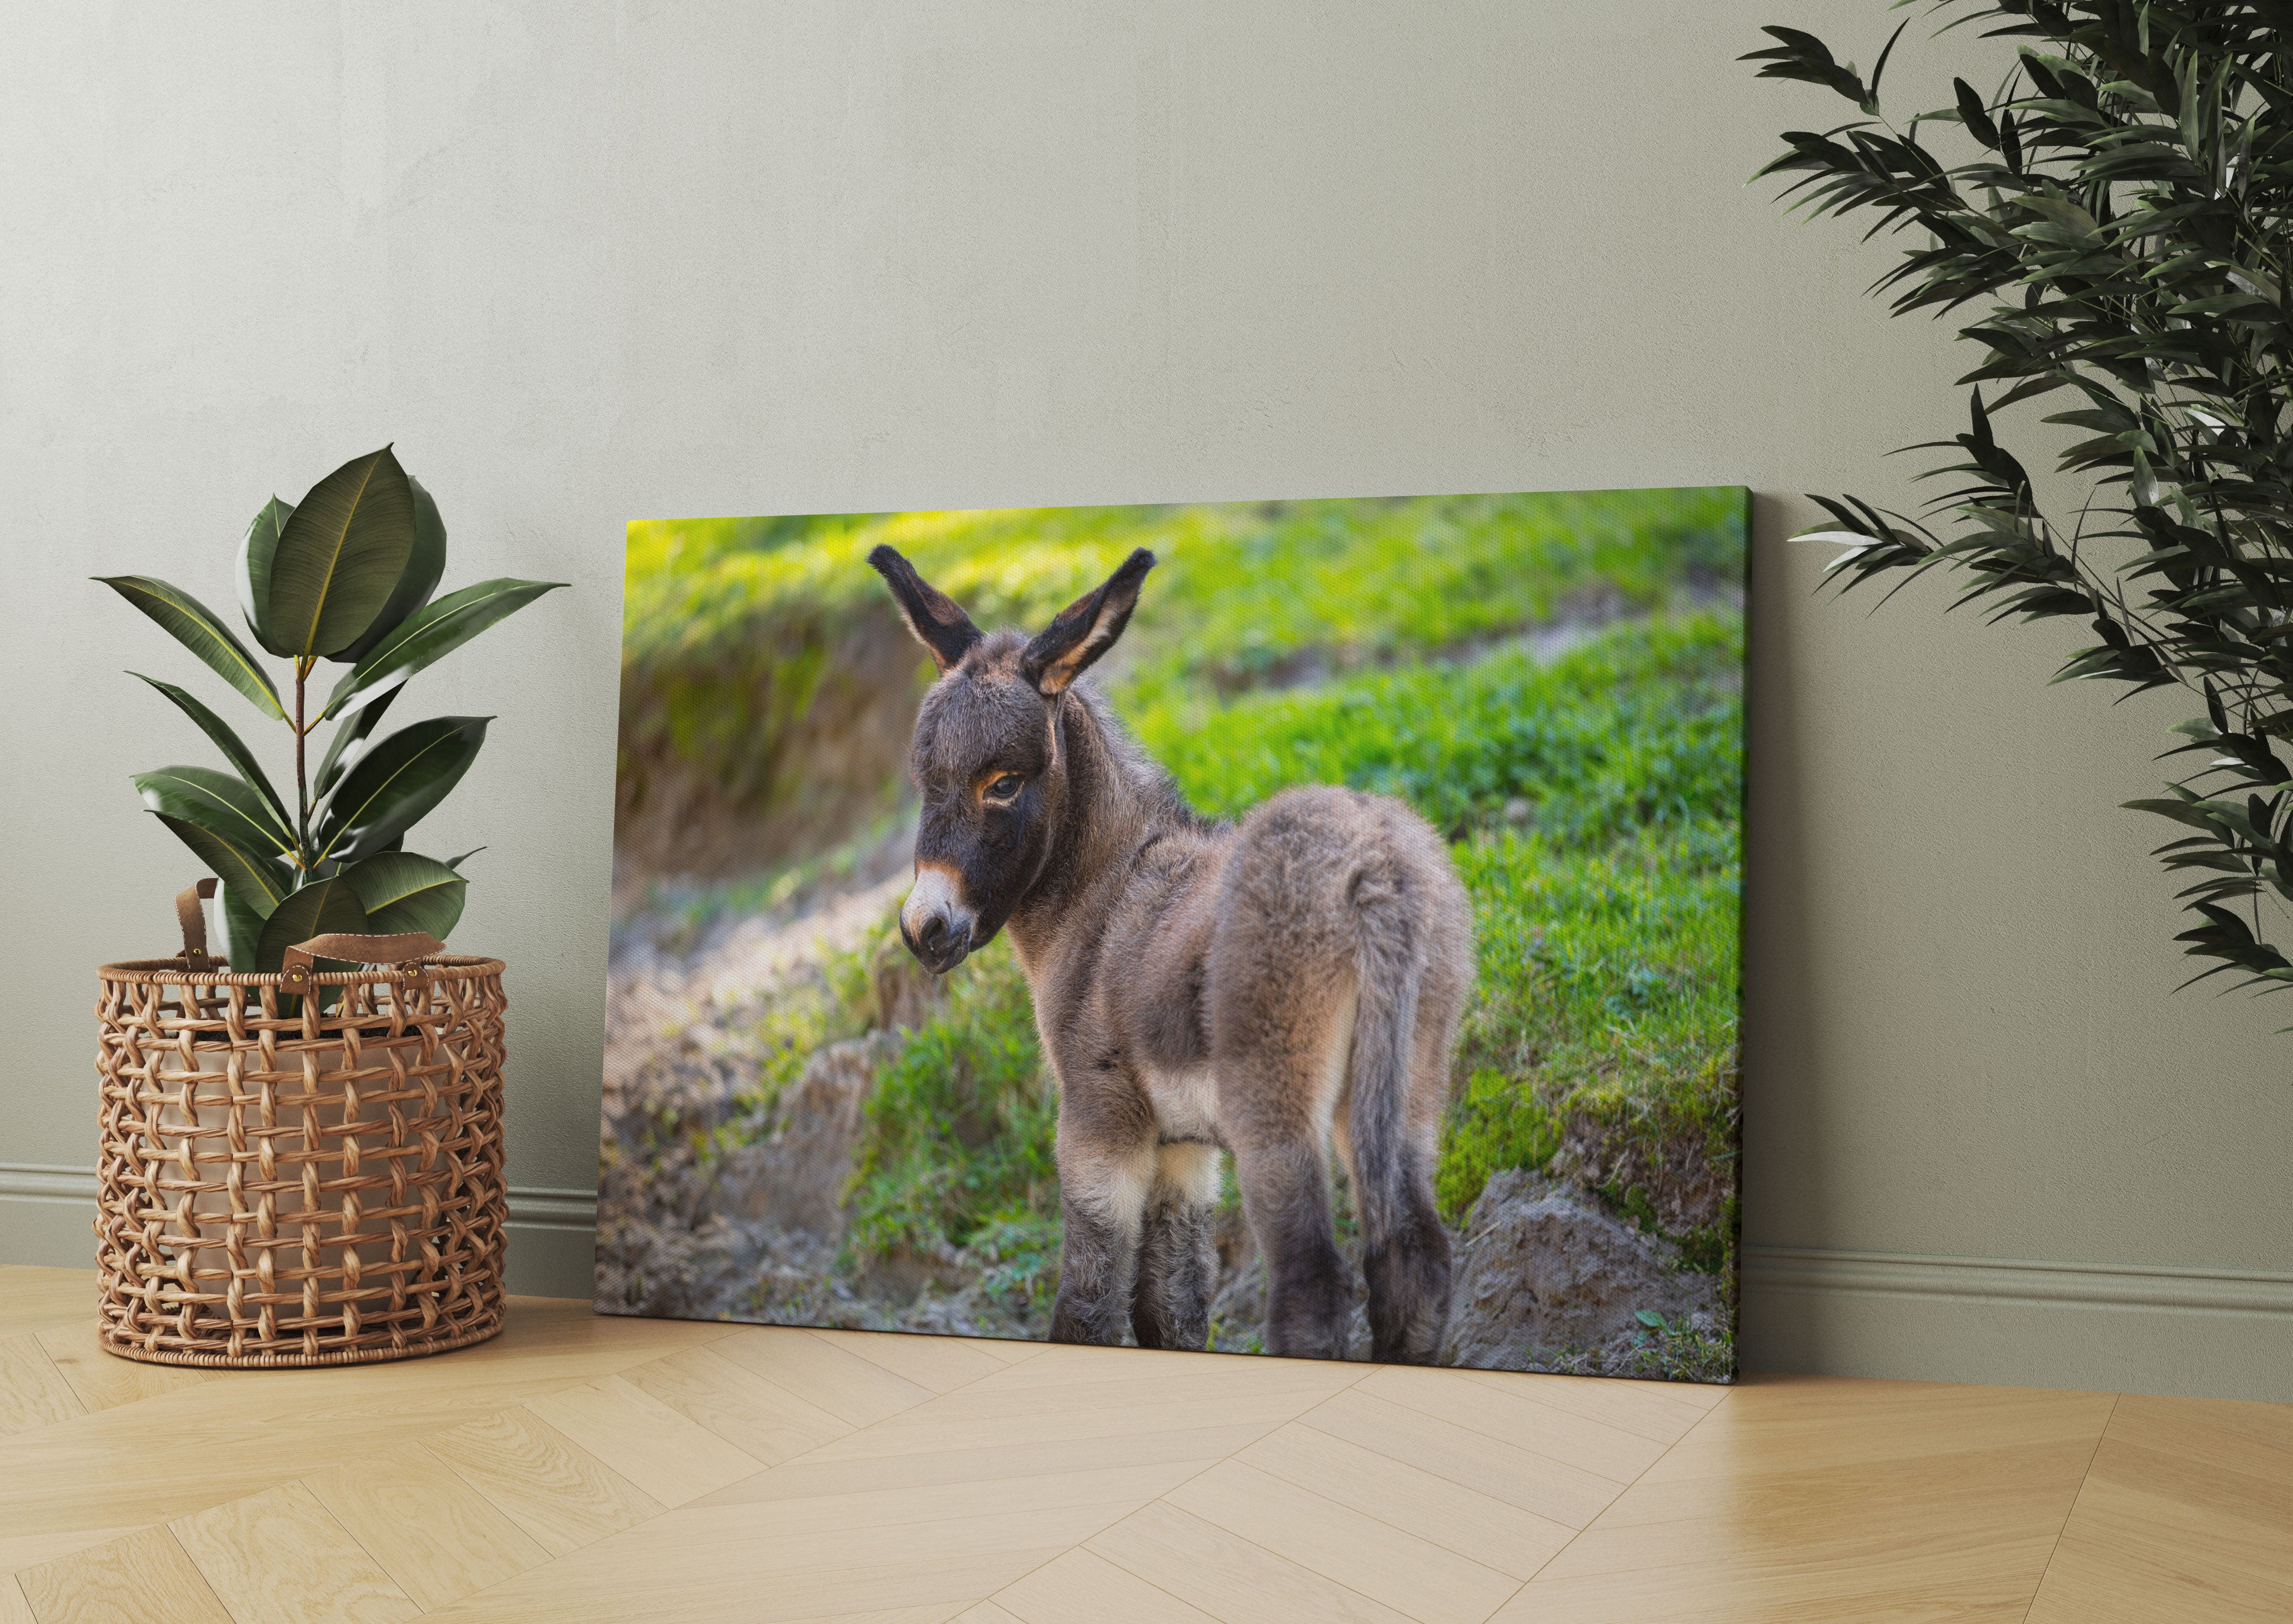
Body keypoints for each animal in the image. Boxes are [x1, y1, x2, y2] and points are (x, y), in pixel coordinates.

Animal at [866, 541, 1476, 1357]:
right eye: (922, 780)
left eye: (1003, 783)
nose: (923, 930)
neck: (1103, 893)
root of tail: (1374, 870)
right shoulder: (1184, 1149)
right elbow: (1171, 1306)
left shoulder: (1098, 1123)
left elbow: (1089, 1304)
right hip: (1404, 1085)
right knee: (1415, 1258)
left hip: (1274, 1105)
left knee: (1311, 1280)